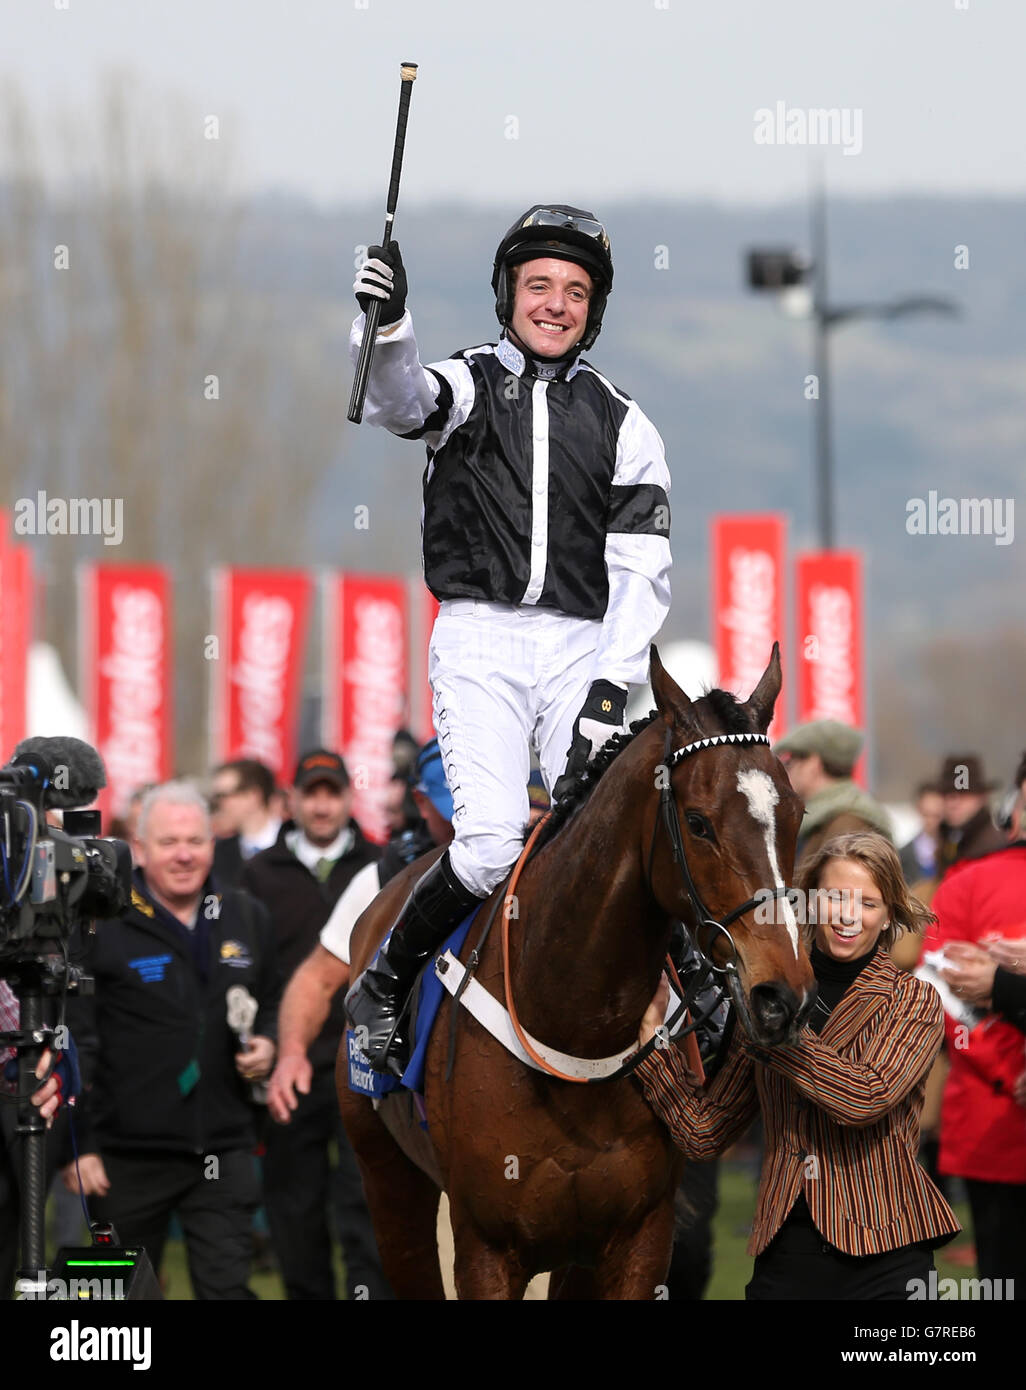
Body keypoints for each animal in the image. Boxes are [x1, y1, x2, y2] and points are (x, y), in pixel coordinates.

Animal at [339, 644, 811, 1295]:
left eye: (797, 815)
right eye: (698, 822)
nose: (782, 996)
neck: (572, 1020)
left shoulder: (636, 1239)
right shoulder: (485, 1248)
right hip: (387, 1179)